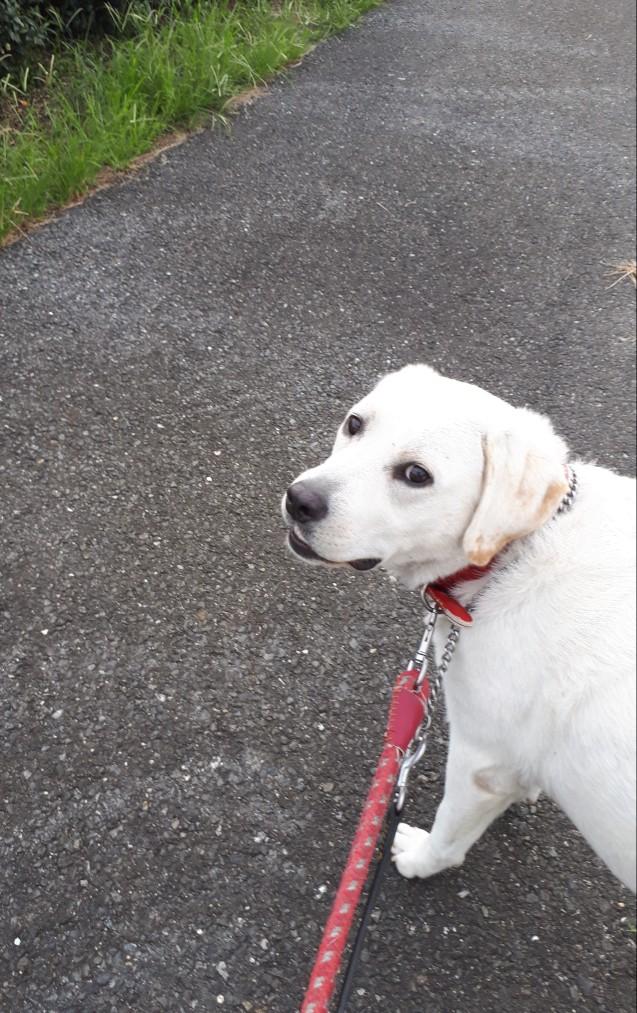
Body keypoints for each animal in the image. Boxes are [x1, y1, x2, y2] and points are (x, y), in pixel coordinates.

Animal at [281, 364, 636, 892]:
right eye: (355, 424)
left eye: (416, 475)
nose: (299, 500)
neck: (510, 555)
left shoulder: (479, 759)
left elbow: (449, 834)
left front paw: (418, 859)